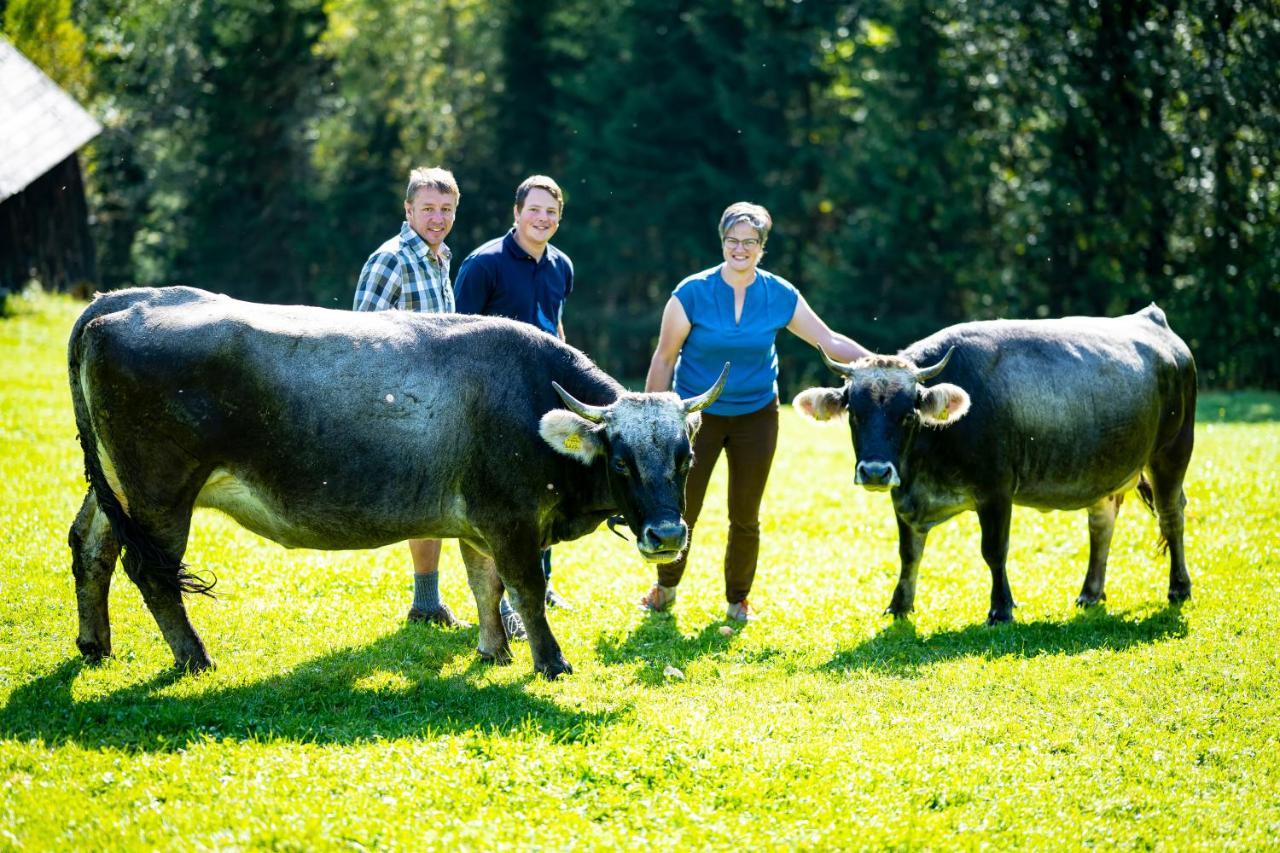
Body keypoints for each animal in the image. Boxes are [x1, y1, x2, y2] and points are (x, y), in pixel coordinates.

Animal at [70, 285, 727, 676]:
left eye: (685, 457)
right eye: (621, 461)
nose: (668, 535)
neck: (527, 396)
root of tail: (124, 303)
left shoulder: (479, 521)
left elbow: (484, 585)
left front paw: (493, 650)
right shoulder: (512, 520)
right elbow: (524, 590)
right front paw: (550, 661)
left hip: (115, 490)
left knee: (90, 547)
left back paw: (94, 643)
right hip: (160, 494)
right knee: (152, 572)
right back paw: (193, 656)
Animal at [793, 302, 1192, 622]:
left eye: (907, 415)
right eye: (854, 413)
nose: (875, 472)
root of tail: (1153, 321)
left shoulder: (996, 492)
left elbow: (994, 551)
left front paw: (1001, 608)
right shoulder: (904, 496)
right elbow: (909, 554)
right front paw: (900, 605)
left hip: (1171, 453)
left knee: (1171, 515)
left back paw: (1179, 588)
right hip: (1105, 471)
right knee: (1102, 523)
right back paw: (1090, 593)